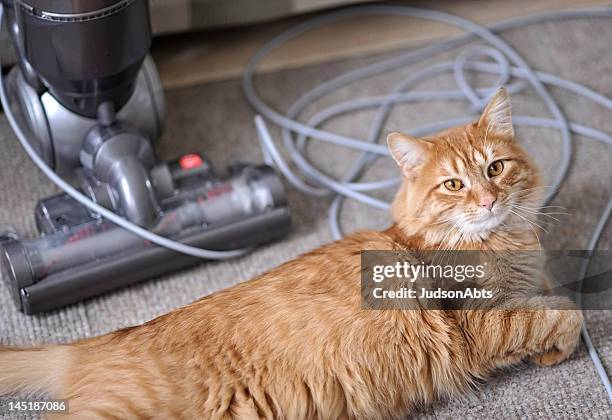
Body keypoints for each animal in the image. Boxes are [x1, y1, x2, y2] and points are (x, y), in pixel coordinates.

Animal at [0, 87, 584, 418]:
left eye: (495, 169)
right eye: (453, 185)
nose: (488, 200)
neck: (502, 242)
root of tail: (97, 343)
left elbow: (553, 296)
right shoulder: (478, 323)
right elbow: (563, 315)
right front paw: (559, 346)